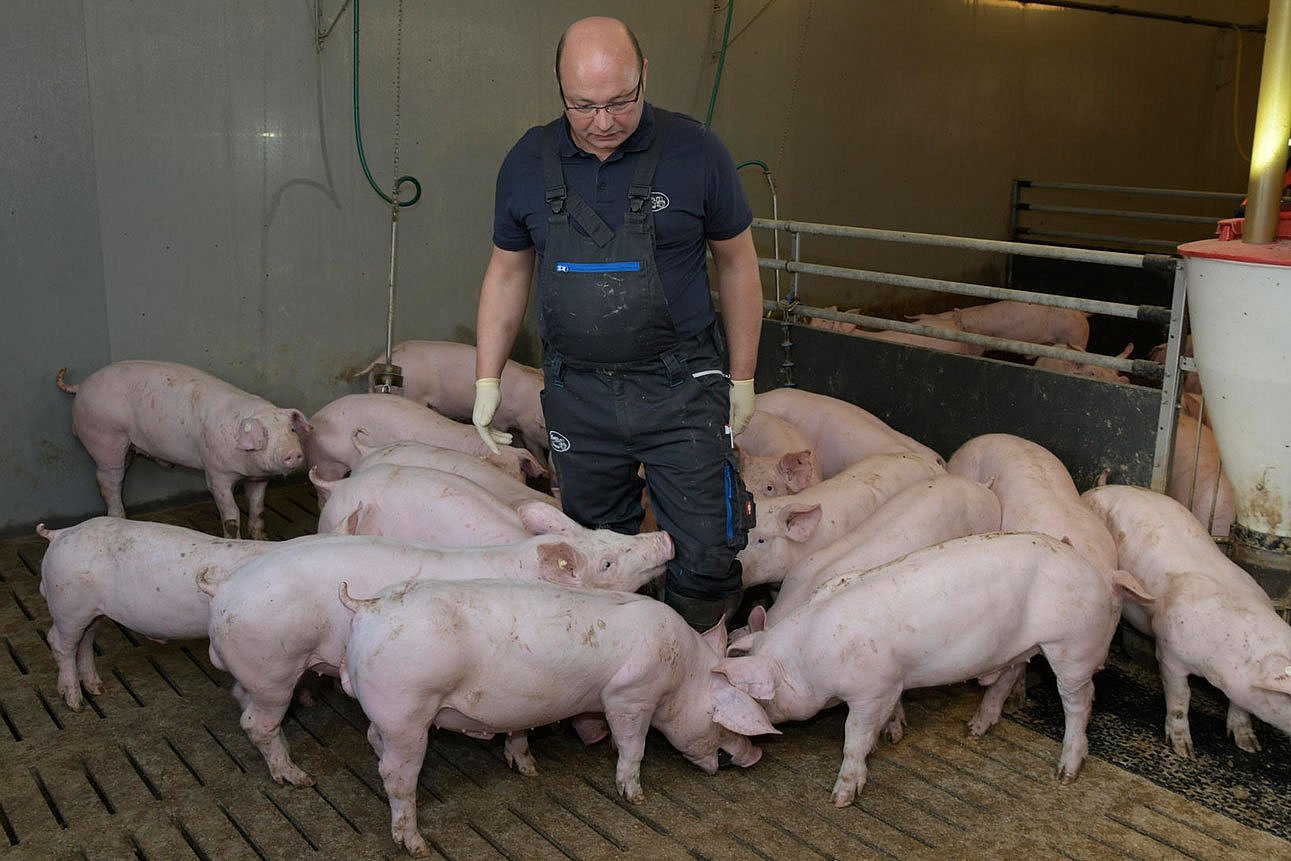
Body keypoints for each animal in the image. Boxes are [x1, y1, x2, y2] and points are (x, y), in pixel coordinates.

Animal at [56, 361, 311, 539]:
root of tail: (82, 386)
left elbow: (258, 508)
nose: (294, 453)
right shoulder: (216, 473)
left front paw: (262, 539)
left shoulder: (258, 479)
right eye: (264, 435)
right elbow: (231, 514)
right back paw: (120, 518)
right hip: (104, 437)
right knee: (107, 481)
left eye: (291, 430)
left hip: (124, 445)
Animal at [335, 575, 774, 857]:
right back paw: (416, 845)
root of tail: (367, 606)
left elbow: (520, 734)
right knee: (395, 776)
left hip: (388, 714)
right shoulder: (630, 696)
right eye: (721, 722)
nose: (754, 756)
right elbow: (634, 746)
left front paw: (529, 770)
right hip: (406, 711)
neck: (683, 677)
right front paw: (636, 795)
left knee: (375, 742)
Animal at [717, 531, 1151, 810]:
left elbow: (853, 738)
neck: (807, 658)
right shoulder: (892, 683)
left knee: (1081, 700)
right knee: (1011, 673)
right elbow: (887, 716)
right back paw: (975, 729)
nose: (730, 744)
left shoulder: (871, 689)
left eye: (755, 698)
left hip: (1072, 646)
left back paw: (1066, 772)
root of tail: (1101, 573)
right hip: (1020, 645)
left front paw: (840, 798)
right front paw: (892, 735)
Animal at [1079, 487, 1291, 759]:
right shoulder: (1170, 653)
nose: (1254, 748)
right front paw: (1184, 751)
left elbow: (1241, 706)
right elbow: (1181, 698)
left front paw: (1250, 746)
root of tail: (1096, 489)